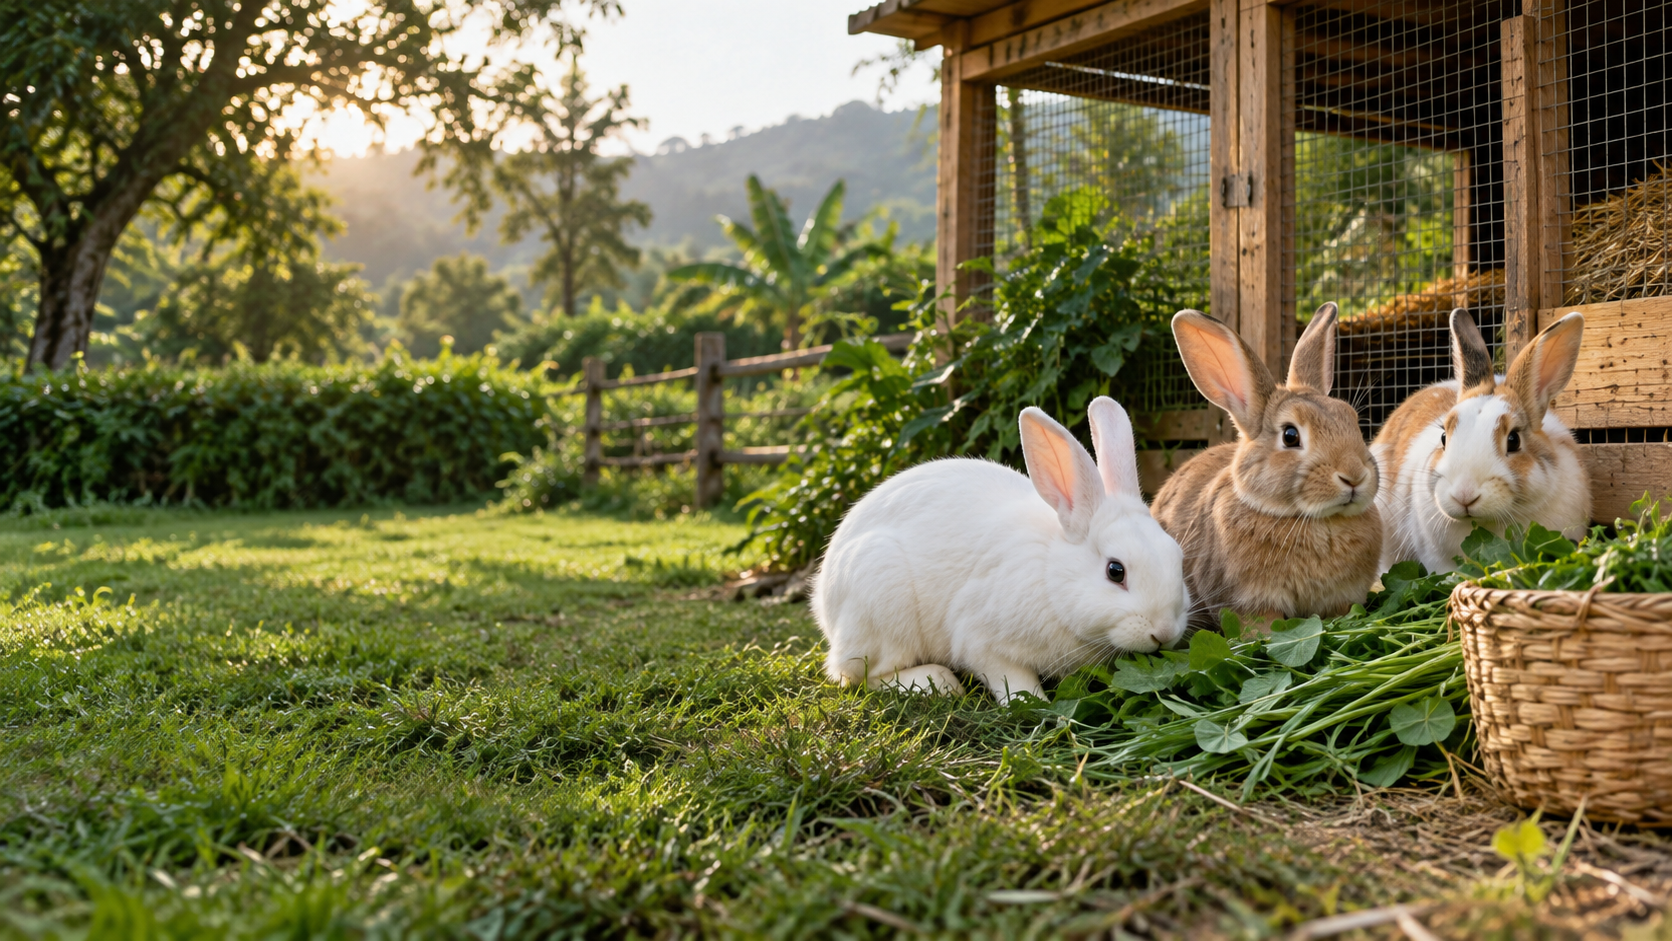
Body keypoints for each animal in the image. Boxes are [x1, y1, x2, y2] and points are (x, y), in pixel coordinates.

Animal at [811, 396, 1190, 705]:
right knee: (861, 676)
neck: (1049, 577)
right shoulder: (980, 640)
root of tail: (824, 606)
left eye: (1177, 557)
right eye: (1116, 571)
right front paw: (1033, 704)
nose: (1165, 633)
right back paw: (939, 683)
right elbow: (1011, 678)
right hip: (879, 599)